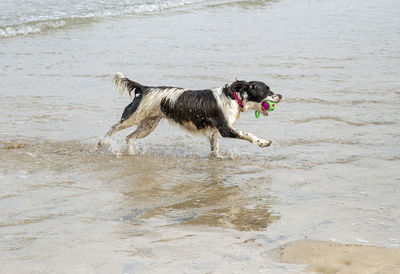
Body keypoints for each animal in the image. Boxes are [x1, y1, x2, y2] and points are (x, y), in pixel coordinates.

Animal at [98, 73, 282, 158]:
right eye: (267, 90)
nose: (280, 96)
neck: (233, 98)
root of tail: (145, 88)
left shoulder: (214, 132)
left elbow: (215, 149)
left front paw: (218, 159)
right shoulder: (225, 129)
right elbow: (248, 134)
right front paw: (263, 142)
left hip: (148, 124)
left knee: (129, 137)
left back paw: (131, 154)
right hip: (134, 116)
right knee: (114, 128)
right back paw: (102, 142)